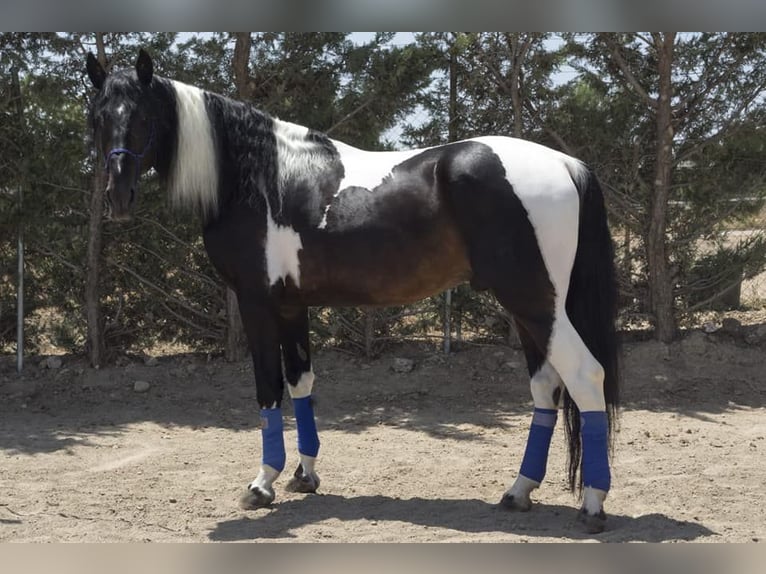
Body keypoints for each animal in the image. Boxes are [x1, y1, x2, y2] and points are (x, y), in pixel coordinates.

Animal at [86, 49, 620, 534]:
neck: (256, 179)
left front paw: (262, 484)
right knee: (546, 387)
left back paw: (593, 506)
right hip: (531, 309)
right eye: (98, 117)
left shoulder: (257, 303)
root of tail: (566, 164)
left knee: (584, 375)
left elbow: (268, 389)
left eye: (144, 116)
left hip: (536, 304)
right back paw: (518, 491)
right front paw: (305, 476)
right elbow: (301, 383)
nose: (117, 197)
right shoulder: (291, 306)